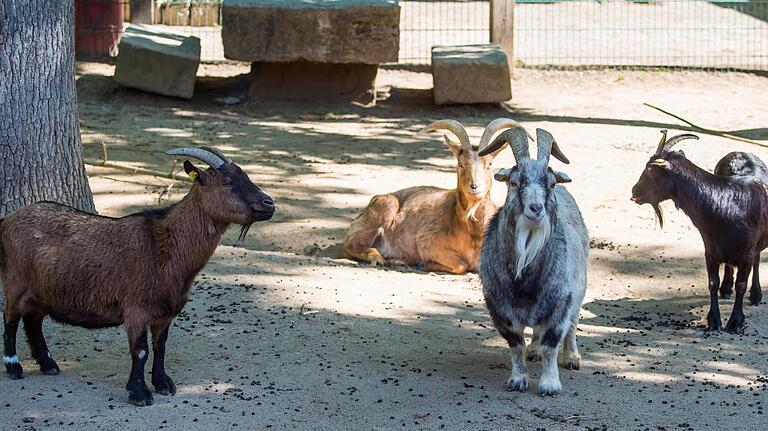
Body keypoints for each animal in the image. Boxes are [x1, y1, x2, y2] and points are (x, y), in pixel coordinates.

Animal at [0, 148, 276, 408]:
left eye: (246, 176)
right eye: (227, 182)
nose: (269, 203)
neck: (163, 245)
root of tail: (8, 219)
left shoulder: (165, 312)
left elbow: (160, 346)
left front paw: (163, 384)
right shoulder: (136, 309)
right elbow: (141, 351)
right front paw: (139, 393)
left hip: (41, 290)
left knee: (33, 320)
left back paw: (48, 364)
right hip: (16, 281)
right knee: (11, 318)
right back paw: (14, 366)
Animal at [344, 119, 532, 274]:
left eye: (490, 164)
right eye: (460, 164)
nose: (474, 187)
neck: (471, 231)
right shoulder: (427, 242)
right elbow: (461, 265)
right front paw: (422, 264)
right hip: (385, 207)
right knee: (350, 244)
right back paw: (381, 258)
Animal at [480, 127, 588, 394]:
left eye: (551, 183)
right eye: (513, 182)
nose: (536, 208)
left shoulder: (561, 302)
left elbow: (552, 344)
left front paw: (550, 384)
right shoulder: (499, 308)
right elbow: (516, 345)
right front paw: (518, 379)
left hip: (579, 289)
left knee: (572, 324)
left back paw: (572, 357)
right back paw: (534, 351)